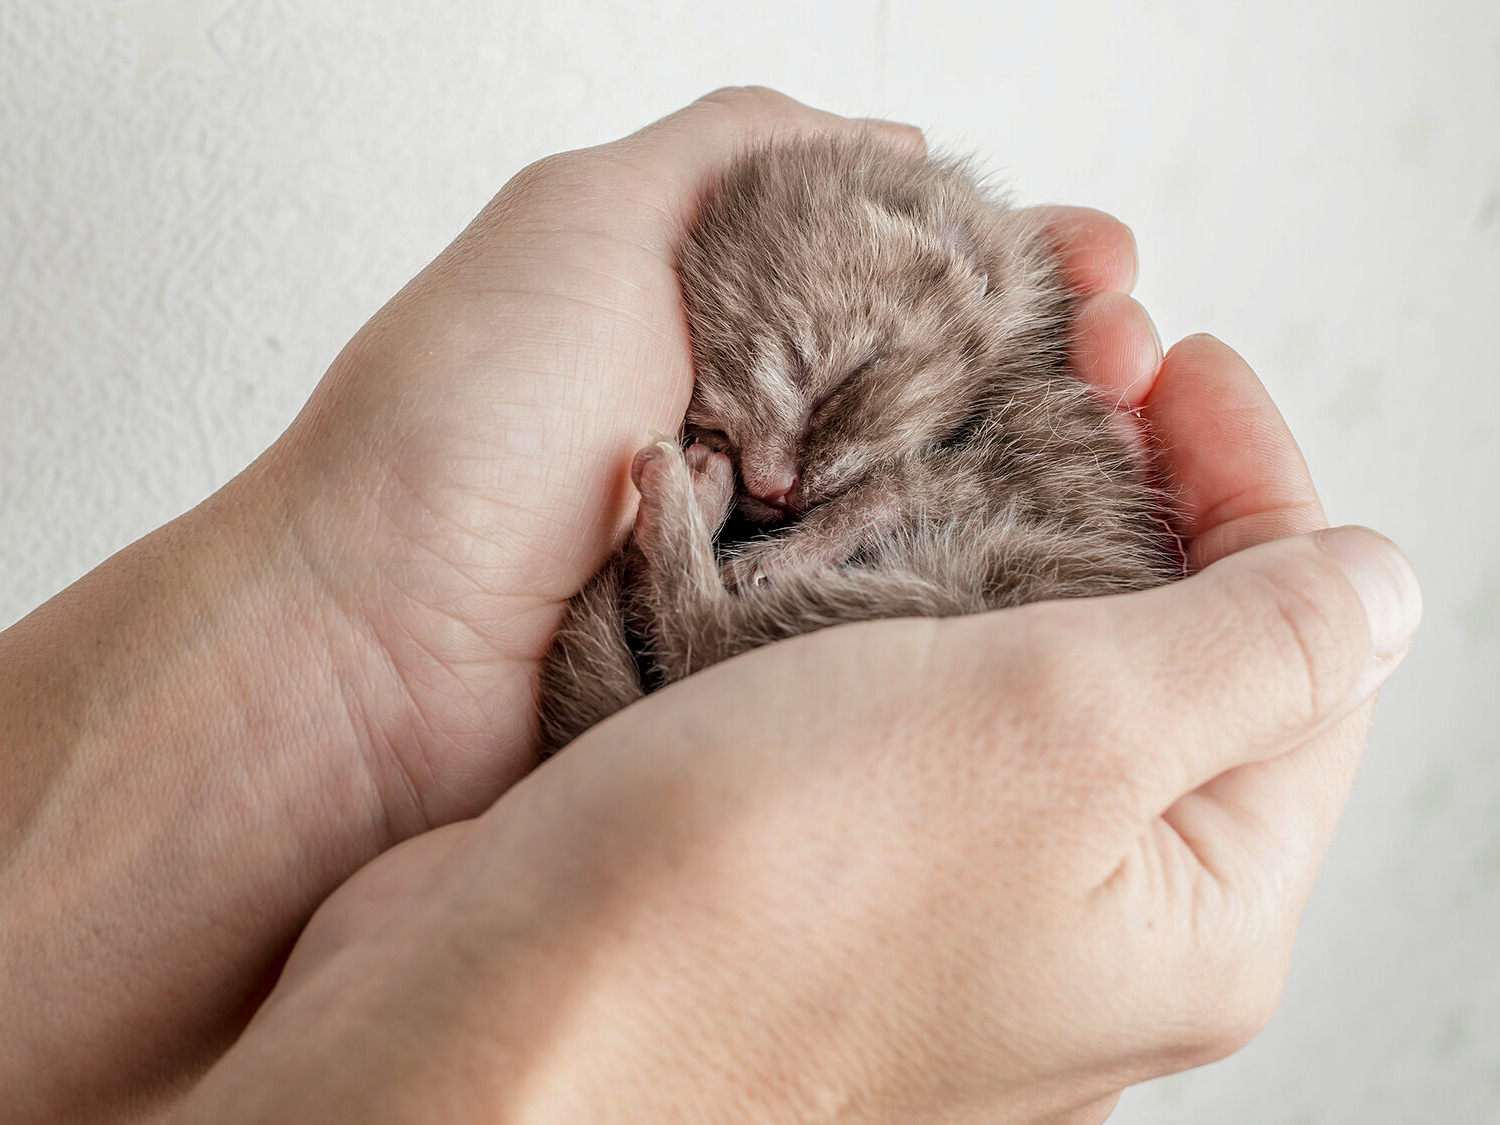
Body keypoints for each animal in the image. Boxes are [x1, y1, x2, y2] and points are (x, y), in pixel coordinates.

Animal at [534, 136, 1176, 759]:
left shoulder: (1029, 470)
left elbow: (883, 493)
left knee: (705, 641)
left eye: (841, 383)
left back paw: (684, 500)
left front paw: (777, 556)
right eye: (719, 428)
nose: (772, 488)